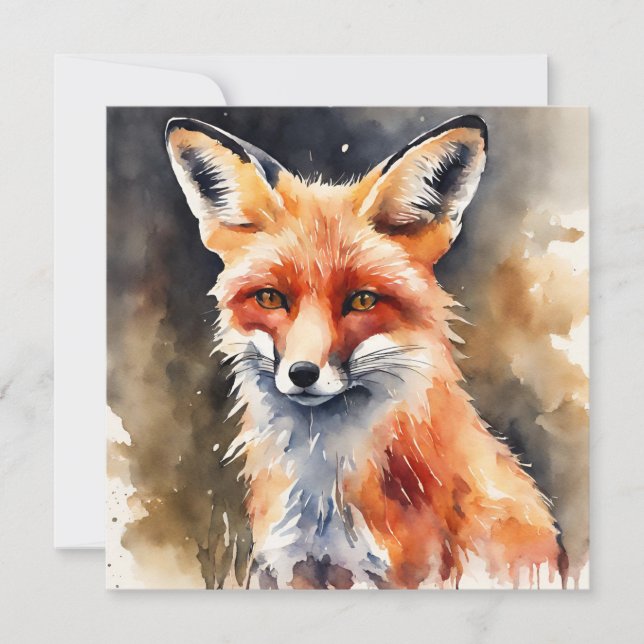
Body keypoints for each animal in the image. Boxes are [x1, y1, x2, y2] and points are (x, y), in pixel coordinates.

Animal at [165, 114, 566, 590]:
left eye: (362, 301)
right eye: (269, 298)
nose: (302, 373)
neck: (323, 498)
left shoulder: (404, 573)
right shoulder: (291, 566)